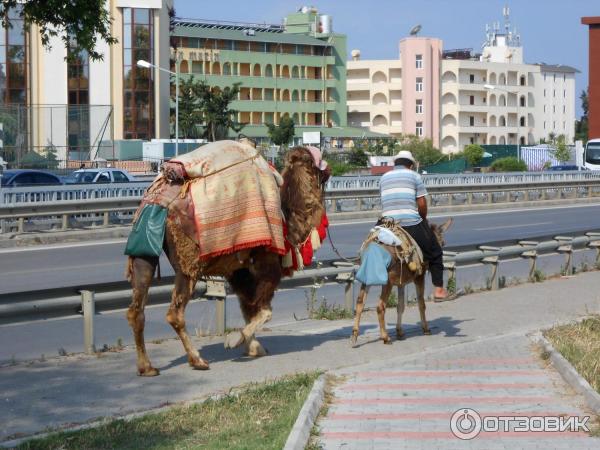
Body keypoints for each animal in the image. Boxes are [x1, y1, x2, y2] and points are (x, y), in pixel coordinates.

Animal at [123, 145, 326, 376]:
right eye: (315, 160)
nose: (327, 168)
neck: (289, 224)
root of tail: (160, 204)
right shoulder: (267, 263)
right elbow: (264, 310)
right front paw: (236, 340)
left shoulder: (239, 271)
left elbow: (249, 307)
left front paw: (254, 347)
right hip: (188, 261)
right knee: (174, 313)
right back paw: (197, 360)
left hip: (144, 249)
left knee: (136, 310)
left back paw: (147, 367)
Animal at [350, 216, 452, 346]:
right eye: (442, 243)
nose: (442, 246)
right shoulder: (419, 277)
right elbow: (421, 304)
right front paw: (426, 328)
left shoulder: (400, 283)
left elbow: (400, 306)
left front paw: (399, 331)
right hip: (386, 282)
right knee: (380, 306)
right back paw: (385, 337)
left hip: (366, 278)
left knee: (359, 303)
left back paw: (354, 335)